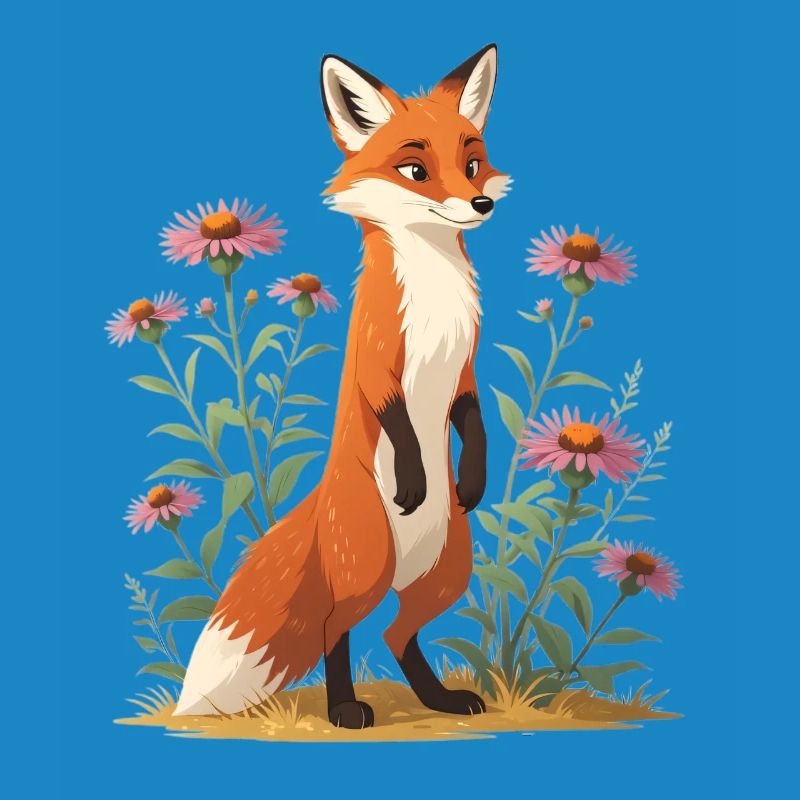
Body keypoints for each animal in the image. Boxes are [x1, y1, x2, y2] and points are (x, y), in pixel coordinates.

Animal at [174, 44, 511, 728]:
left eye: (472, 163)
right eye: (415, 169)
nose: (480, 204)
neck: (434, 294)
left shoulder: (465, 370)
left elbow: (473, 420)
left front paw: (472, 480)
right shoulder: (378, 364)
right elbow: (399, 420)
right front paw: (414, 478)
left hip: (447, 575)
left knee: (396, 635)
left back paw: (439, 698)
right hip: (370, 567)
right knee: (338, 628)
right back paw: (344, 708)